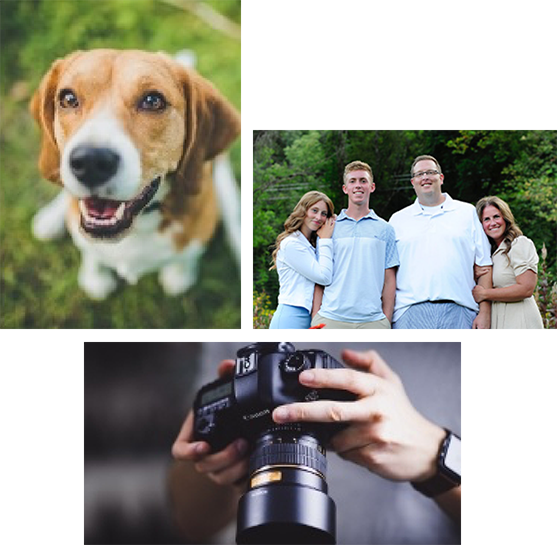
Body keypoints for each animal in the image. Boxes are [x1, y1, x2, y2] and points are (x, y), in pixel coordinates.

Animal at [30, 49, 239, 300]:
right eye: (68, 99)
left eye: (153, 101)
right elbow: (90, 251)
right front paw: (95, 276)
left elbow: (186, 257)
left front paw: (179, 275)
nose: (90, 162)